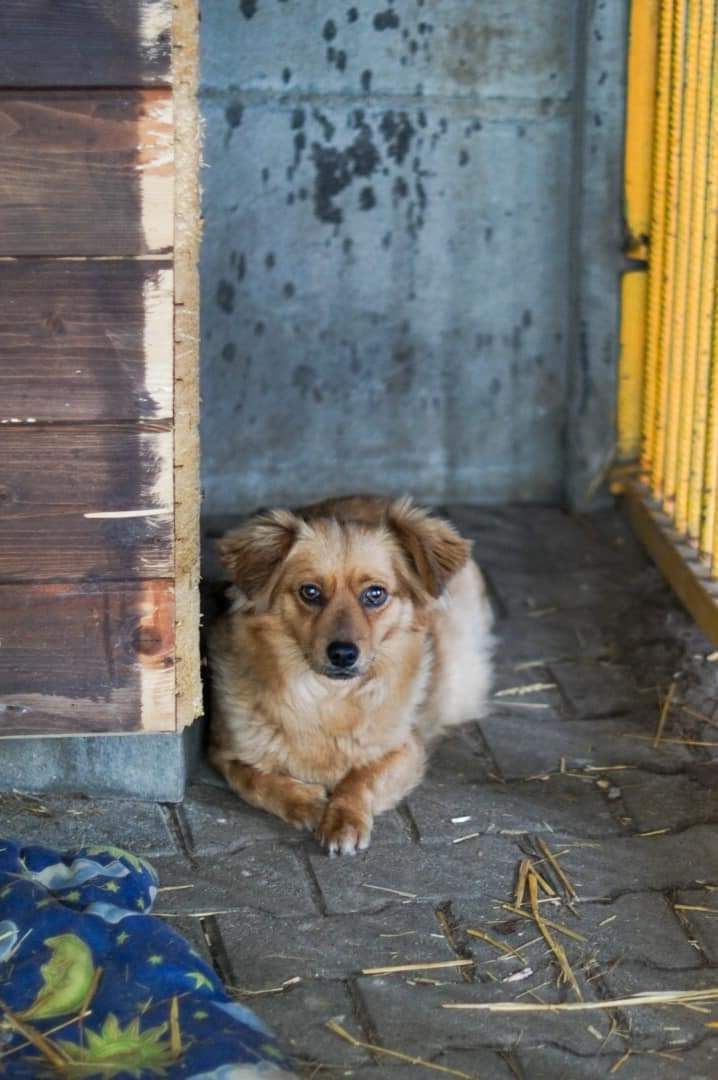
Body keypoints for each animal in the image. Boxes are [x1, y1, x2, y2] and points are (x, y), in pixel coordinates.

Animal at [208, 494, 492, 855]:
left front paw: (343, 818)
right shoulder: (223, 754)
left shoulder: (405, 750)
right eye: (310, 592)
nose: (343, 654)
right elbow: (255, 780)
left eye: (375, 594)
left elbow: (361, 778)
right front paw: (310, 804)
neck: (327, 699)